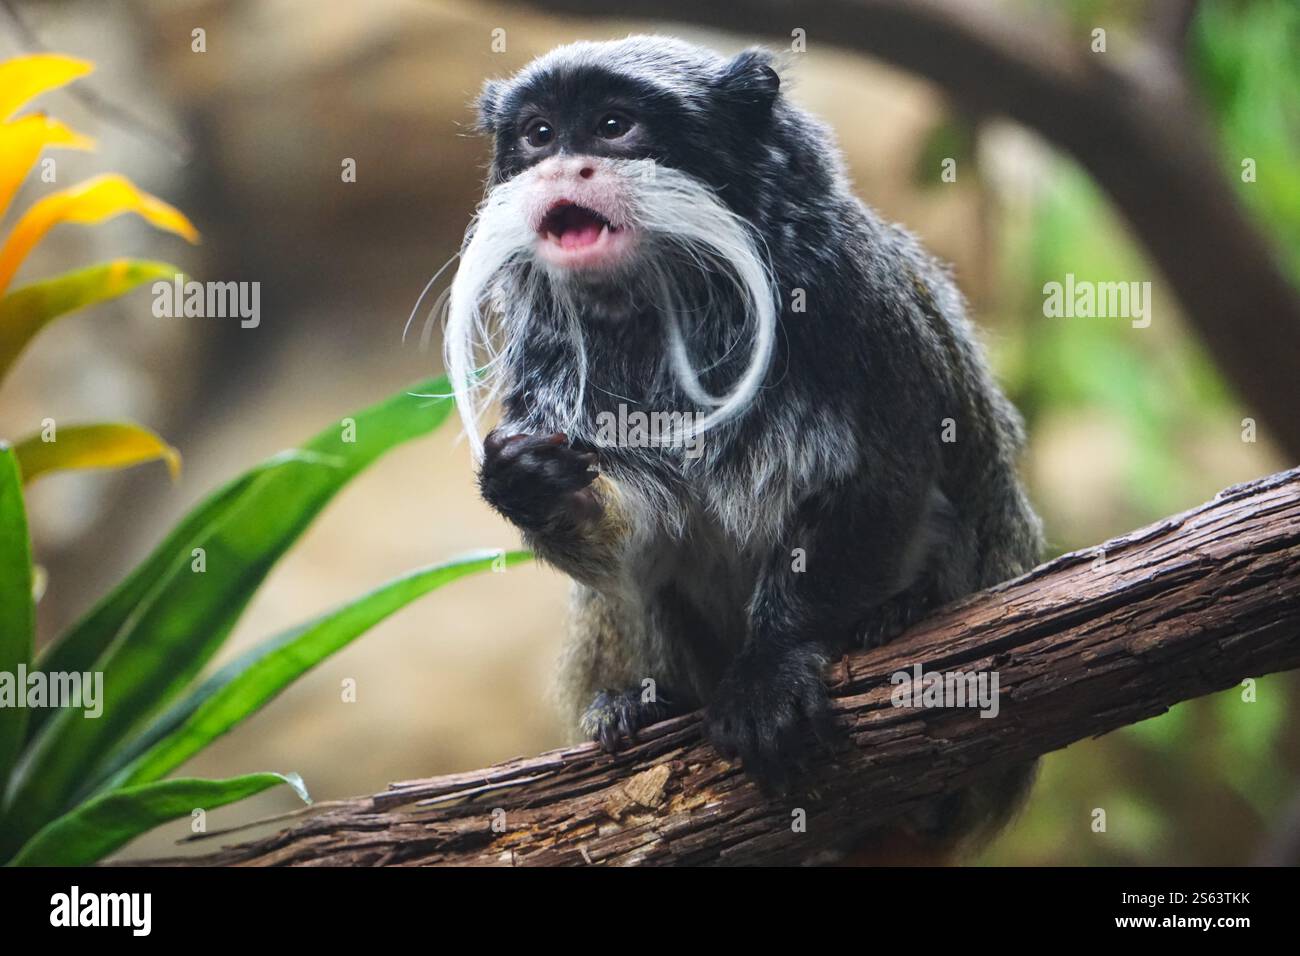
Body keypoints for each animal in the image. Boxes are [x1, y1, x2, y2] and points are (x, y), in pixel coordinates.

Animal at [443, 35, 1044, 856]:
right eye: (539, 135)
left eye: (612, 125)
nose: (563, 168)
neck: (665, 304)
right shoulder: (549, 365)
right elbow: (641, 535)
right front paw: (531, 485)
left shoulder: (854, 300)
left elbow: (881, 479)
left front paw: (770, 670)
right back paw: (647, 700)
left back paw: (901, 614)